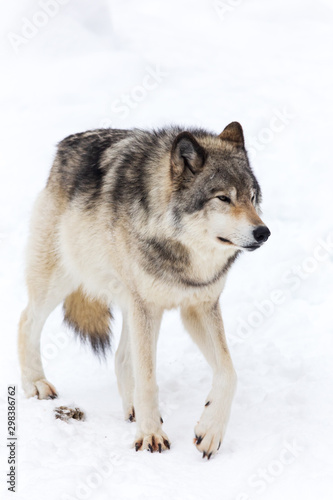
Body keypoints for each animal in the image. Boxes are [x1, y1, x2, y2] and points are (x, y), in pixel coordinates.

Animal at [17, 121, 270, 458]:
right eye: (223, 198)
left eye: (252, 197)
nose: (263, 232)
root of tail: (64, 147)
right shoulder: (149, 307)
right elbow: (149, 378)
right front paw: (151, 435)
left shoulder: (199, 305)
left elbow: (229, 372)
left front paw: (210, 431)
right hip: (63, 280)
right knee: (26, 321)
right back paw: (36, 384)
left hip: (136, 304)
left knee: (123, 357)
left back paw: (132, 409)